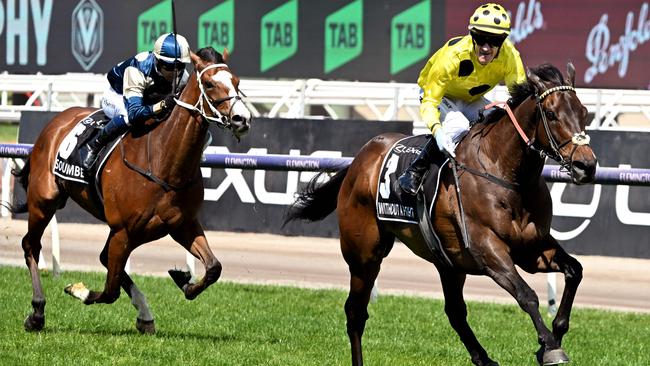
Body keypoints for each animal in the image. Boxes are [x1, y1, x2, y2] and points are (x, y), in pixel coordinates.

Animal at [9, 46, 251, 334]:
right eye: (211, 83)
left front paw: (183, 280)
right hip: (44, 201)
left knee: (102, 257)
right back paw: (37, 312)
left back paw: (145, 314)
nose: (242, 118)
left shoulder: (182, 224)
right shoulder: (123, 230)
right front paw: (78, 290)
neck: (162, 161)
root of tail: (57, 120)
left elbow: (214, 267)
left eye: (237, 82)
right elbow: (109, 291)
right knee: (31, 245)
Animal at [286, 63, 596, 366]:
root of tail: (359, 160)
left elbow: (575, 270)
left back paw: (484, 359)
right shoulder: (488, 250)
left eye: (583, 112)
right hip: (364, 254)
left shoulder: (531, 248)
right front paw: (550, 347)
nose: (586, 166)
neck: (505, 173)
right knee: (355, 312)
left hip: (449, 262)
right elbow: (527, 295)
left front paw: (555, 333)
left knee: (455, 312)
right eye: (552, 114)